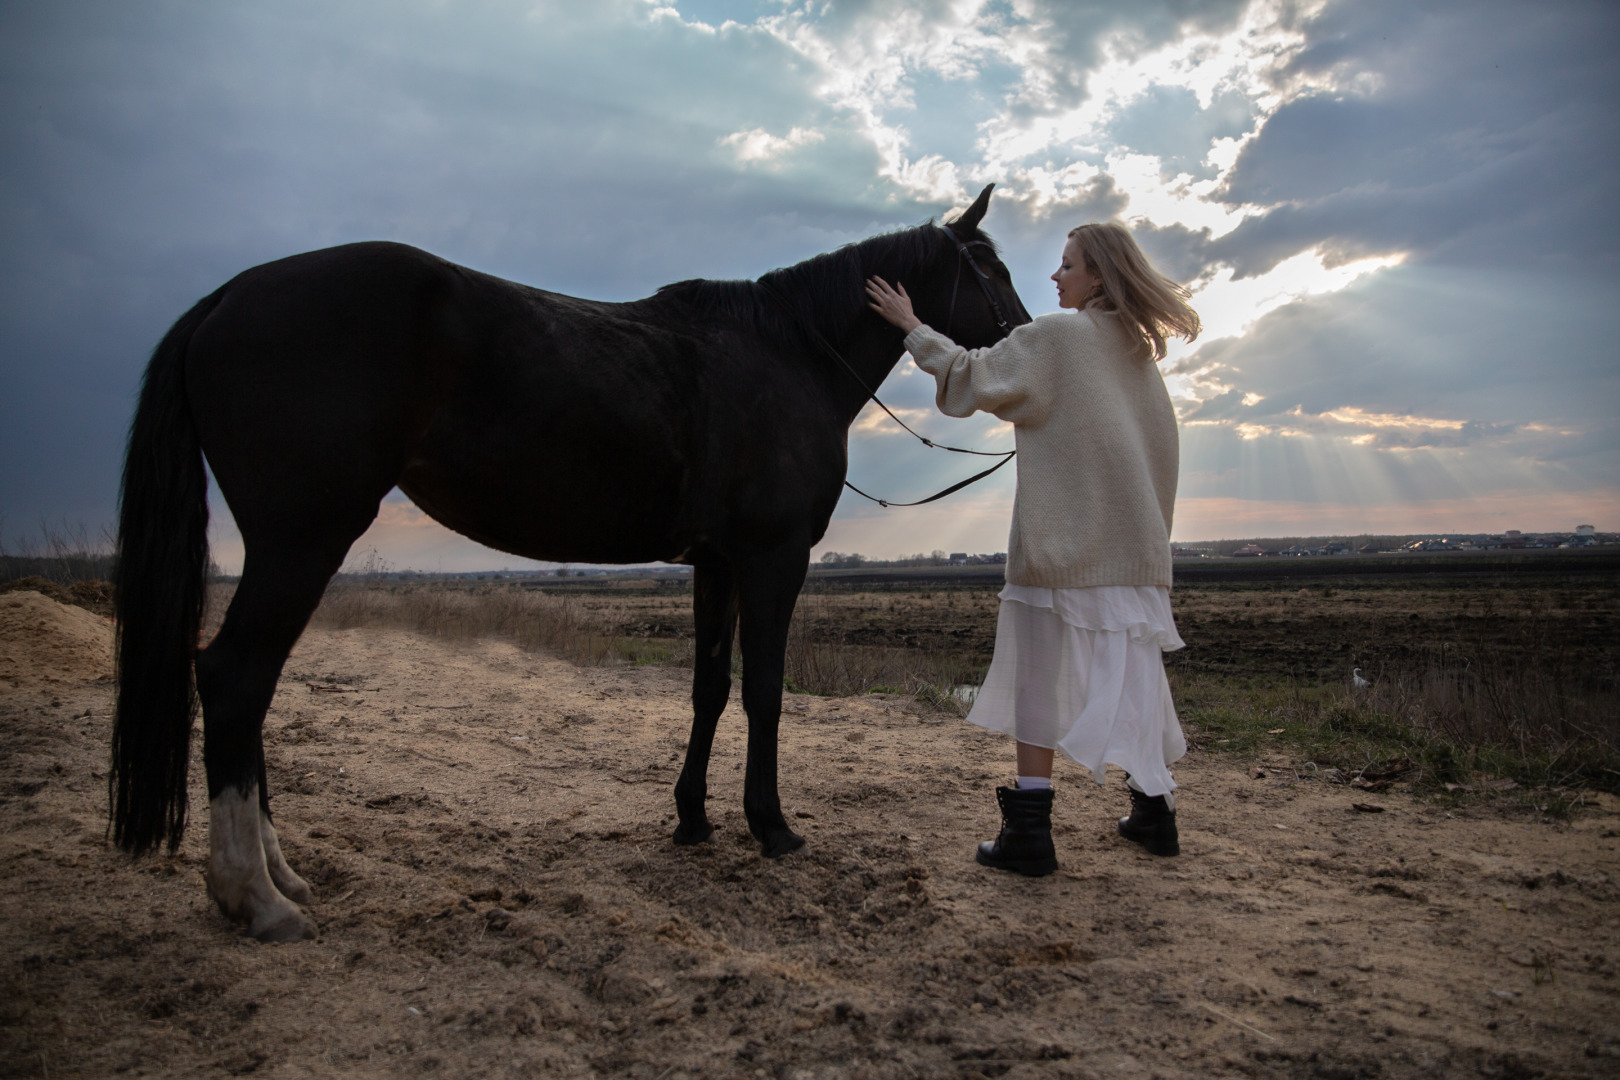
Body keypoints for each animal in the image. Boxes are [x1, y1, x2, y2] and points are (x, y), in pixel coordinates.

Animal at [114, 183, 1030, 939]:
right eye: (989, 265)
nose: (1025, 338)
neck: (787, 355)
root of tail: (227, 297)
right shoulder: (772, 560)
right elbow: (766, 691)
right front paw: (770, 825)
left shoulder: (716, 564)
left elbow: (710, 688)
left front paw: (692, 819)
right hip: (301, 538)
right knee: (236, 677)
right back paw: (255, 896)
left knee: (249, 684)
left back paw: (279, 877)